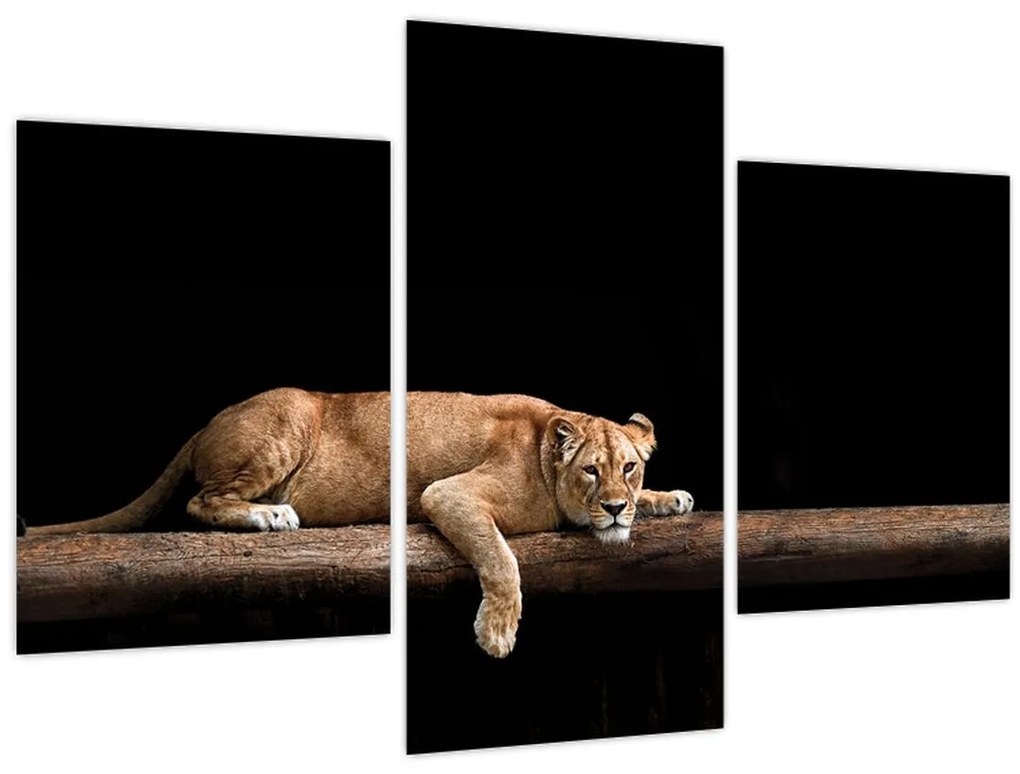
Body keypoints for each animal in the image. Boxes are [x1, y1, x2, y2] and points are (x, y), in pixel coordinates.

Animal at [22, 388, 694, 657]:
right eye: (591, 472)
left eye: (630, 469)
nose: (616, 506)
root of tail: (209, 421)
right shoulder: (448, 495)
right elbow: (501, 559)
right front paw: (498, 632)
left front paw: (671, 498)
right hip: (287, 419)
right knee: (200, 504)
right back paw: (271, 513)